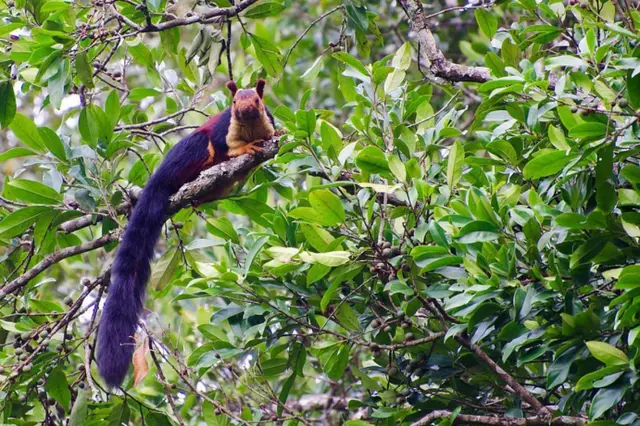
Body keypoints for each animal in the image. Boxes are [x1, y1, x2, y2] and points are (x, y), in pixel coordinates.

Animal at [97, 78, 276, 388]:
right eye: (234, 103)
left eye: (257, 101)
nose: (244, 110)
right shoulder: (224, 130)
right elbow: (227, 146)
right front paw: (245, 149)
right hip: (191, 151)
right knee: (202, 149)